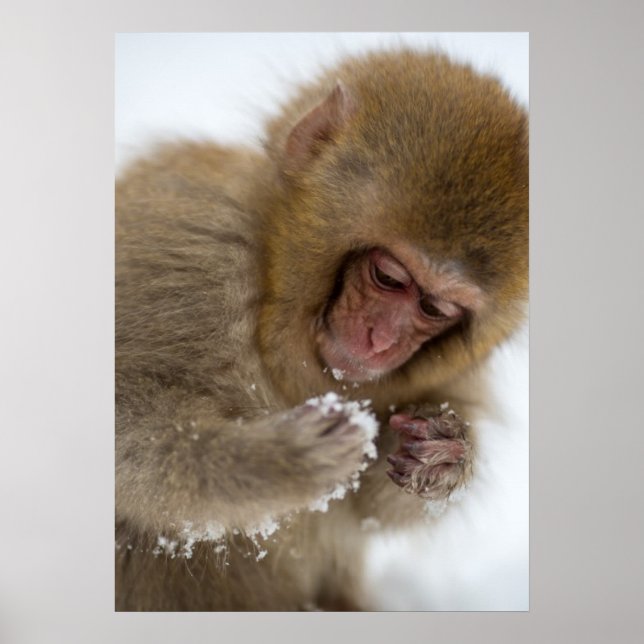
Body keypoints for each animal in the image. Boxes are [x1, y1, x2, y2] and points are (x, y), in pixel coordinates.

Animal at [115, 48, 528, 611]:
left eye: (435, 308)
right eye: (388, 277)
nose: (380, 341)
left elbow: (366, 508)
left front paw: (443, 455)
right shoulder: (188, 240)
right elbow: (121, 419)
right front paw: (273, 462)